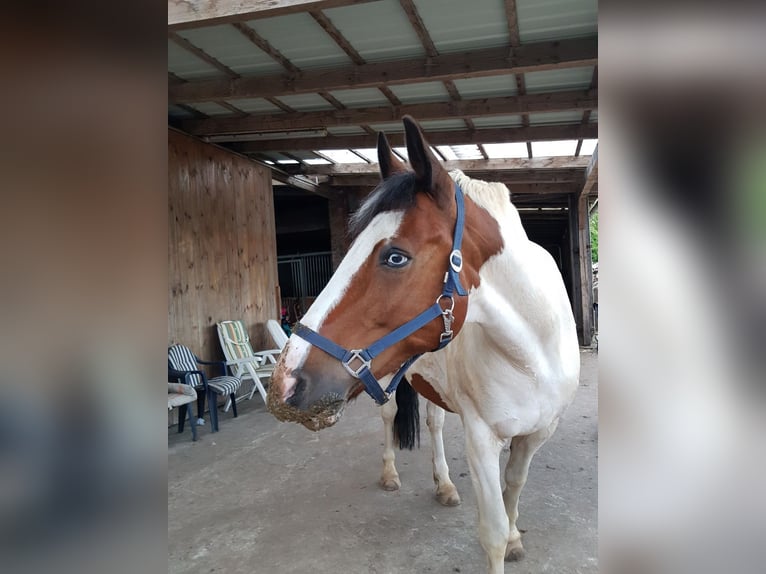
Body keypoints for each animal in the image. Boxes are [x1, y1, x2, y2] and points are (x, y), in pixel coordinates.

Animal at [268, 117, 580, 574]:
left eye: (396, 256)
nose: (285, 381)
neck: (532, 353)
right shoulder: (481, 438)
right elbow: (492, 532)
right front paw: (504, 539)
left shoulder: (538, 433)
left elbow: (514, 488)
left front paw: (516, 537)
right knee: (389, 418)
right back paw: (390, 475)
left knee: (434, 424)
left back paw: (445, 485)